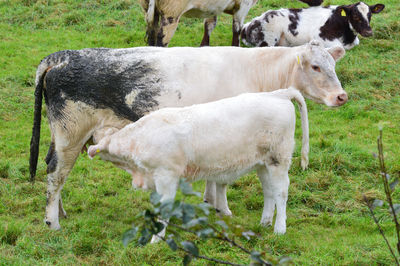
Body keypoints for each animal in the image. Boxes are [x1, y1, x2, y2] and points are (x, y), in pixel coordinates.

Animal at [88, 87, 310, 237]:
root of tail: (278, 93)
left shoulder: (167, 175)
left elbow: (165, 207)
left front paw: (157, 238)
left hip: (279, 160)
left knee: (281, 192)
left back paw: (279, 228)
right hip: (263, 163)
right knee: (269, 191)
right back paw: (264, 222)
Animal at [241, 1, 384, 49]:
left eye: (370, 15)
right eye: (355, 16)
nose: (368, 32)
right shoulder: (320, 35)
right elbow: (338, 47)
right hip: (269, 37)